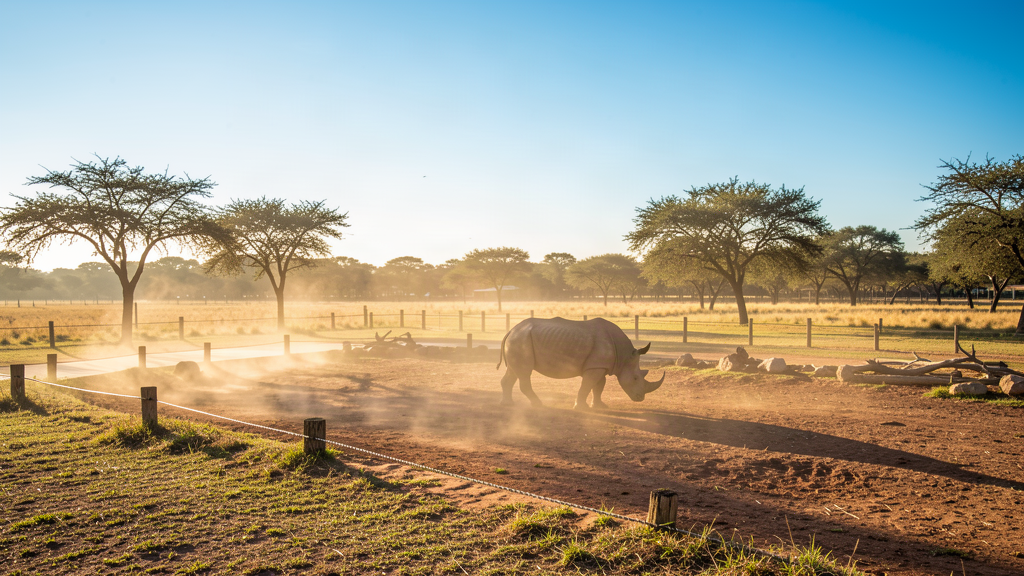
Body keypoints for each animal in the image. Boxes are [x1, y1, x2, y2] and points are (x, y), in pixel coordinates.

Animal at [496, 317, 665, 409]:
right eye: (636, 378)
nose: (640, 398)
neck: (624, 356)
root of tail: (511, 330)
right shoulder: (595, 366)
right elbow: (587, 385)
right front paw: (581, 408)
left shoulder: (599, 365)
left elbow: (599, 386)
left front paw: (599, 406)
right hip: (521, 340)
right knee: (524, 372)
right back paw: (538, 404)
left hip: (518, 340)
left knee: (513, 371)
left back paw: (507, 404)